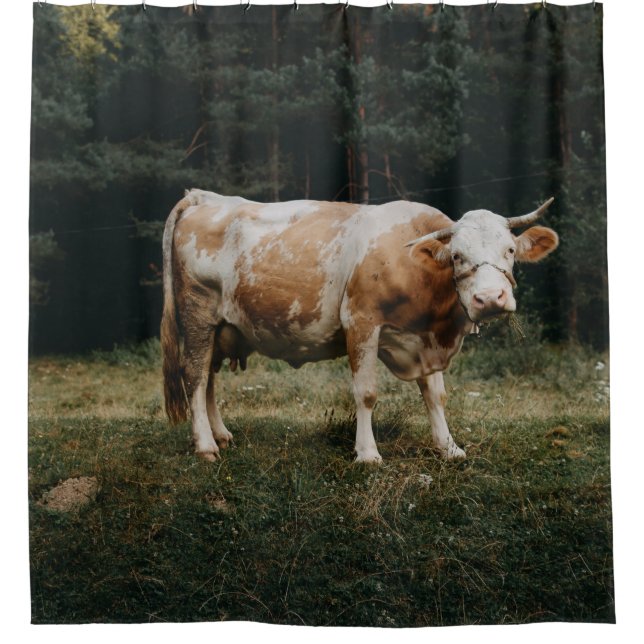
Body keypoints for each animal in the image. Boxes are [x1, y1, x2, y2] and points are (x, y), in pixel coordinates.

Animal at [161, 189, 558, 463]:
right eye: (457, 256)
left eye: (510, 250)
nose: (490, 299)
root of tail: (204, 198)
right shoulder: (362, 321)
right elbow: (366, 393)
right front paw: (367, 454)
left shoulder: (423, 336)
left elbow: (436, 395)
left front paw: (449, 447)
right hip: (197, 315)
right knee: (194, 376)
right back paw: (205, 445)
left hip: (219, 329)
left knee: (208, 378)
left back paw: (220, 435)